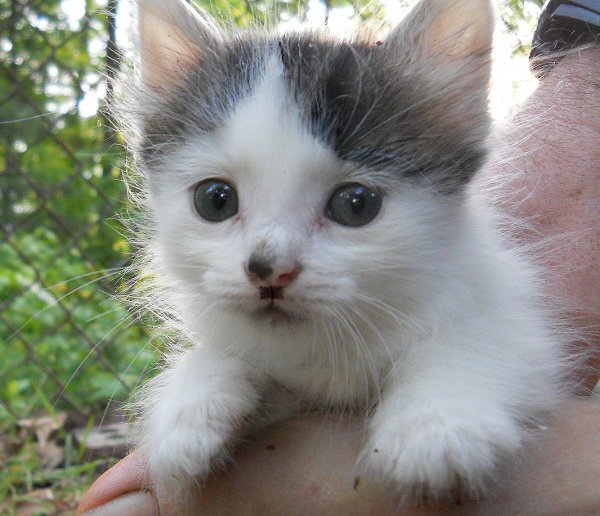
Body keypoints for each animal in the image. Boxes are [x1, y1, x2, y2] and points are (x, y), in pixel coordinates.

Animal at [114, 0, 573, 502]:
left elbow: (483, 338)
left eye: (356, 204)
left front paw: (436, 424)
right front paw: (188, 407)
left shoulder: (511, 321)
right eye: (215, 200)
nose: (269, 269)